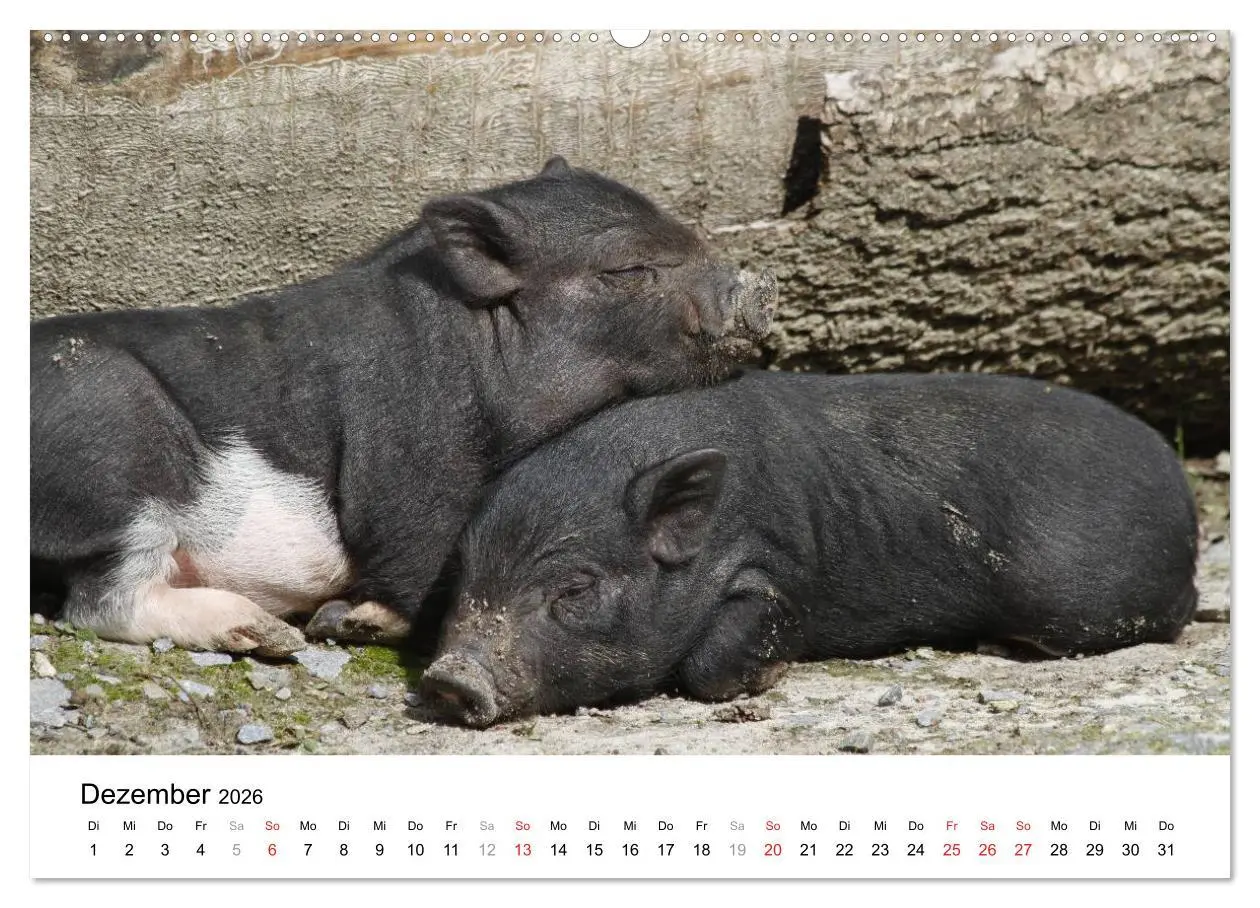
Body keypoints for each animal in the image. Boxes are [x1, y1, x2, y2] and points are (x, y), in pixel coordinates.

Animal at [30, 158, 778, 655]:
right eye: (627, 270)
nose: (756, 285)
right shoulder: (411, 457)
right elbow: (418, 545)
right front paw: (351, 622)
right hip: (112, 437)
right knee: (100, 603)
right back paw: (266, 633)